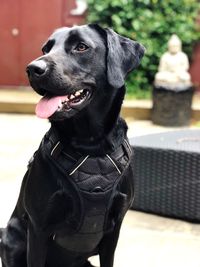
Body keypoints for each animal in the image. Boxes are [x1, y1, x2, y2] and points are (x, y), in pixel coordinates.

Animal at [0, 24, 144, 266]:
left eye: (81, 47)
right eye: (46, 48)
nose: (33, 68)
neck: (90, 144)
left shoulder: (114, 232)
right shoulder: (38, 229)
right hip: (10, 239)